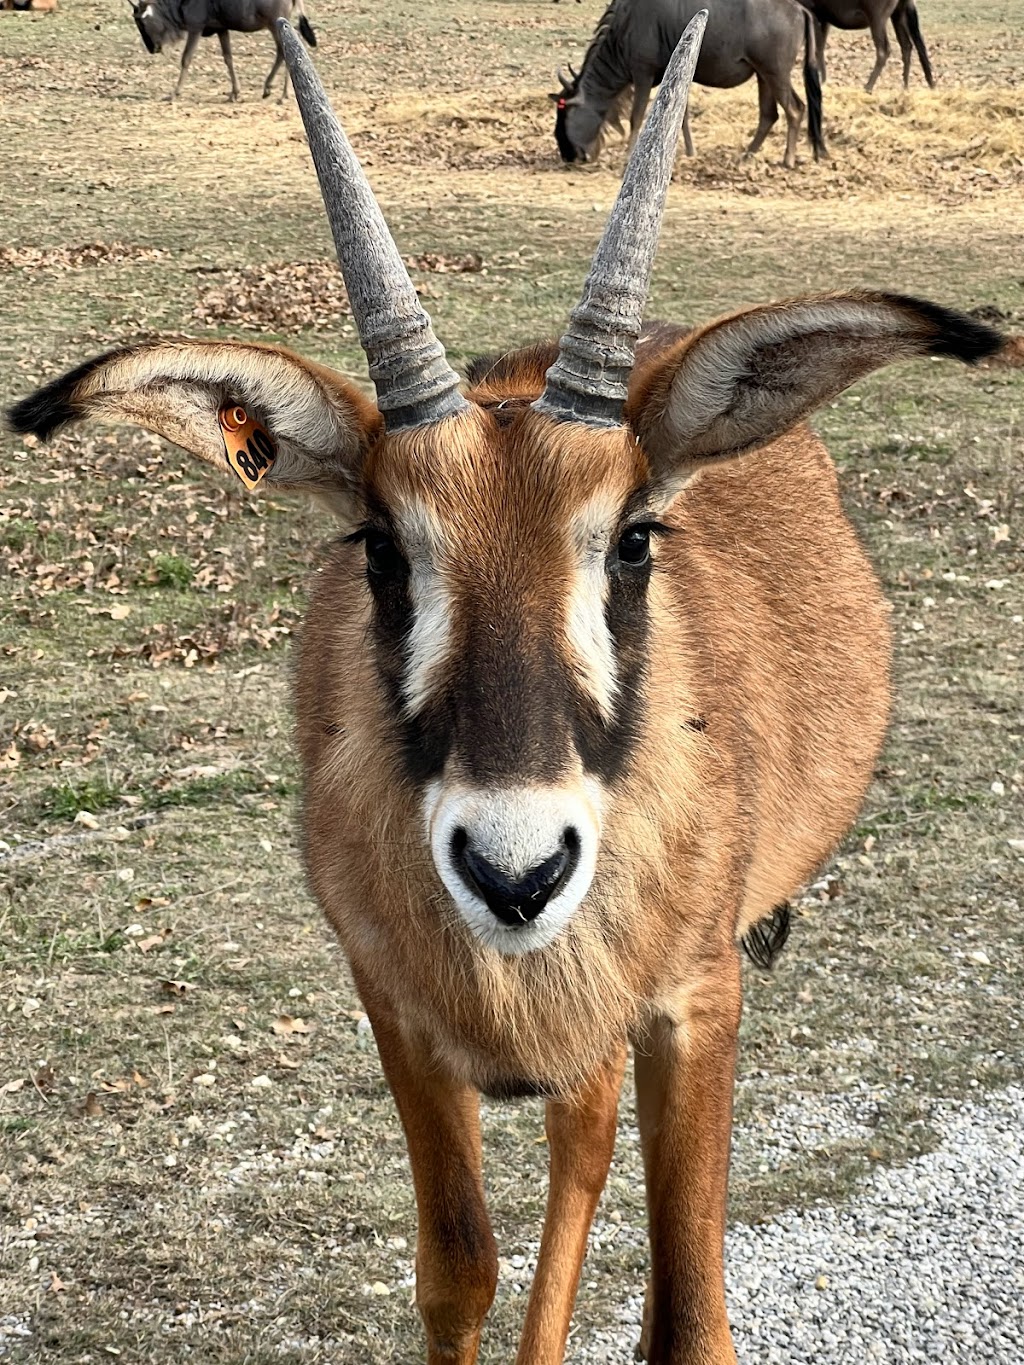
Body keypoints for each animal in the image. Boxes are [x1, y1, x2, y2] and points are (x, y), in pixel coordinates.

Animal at [8, 13, 1004, 1365]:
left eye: (630, 538)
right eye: (382, 547)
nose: (516, 873)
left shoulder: (694, 1000)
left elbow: (689, 1315)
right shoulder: (398, 1010)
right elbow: (457, 1268)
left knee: (592, 1151)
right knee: (576, 1139)